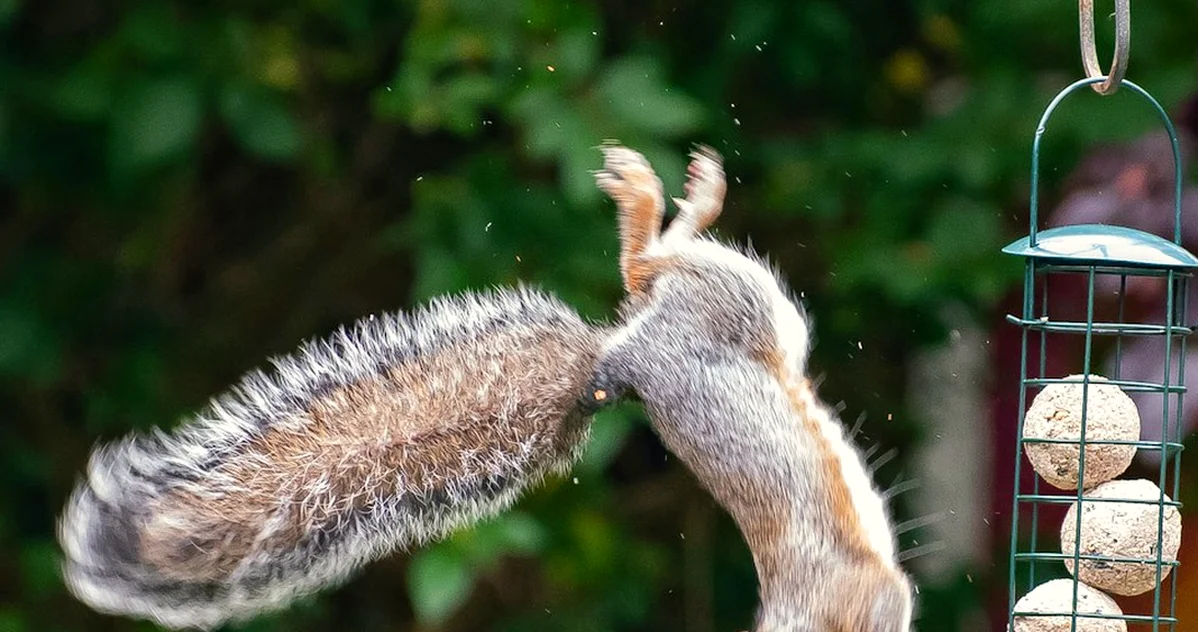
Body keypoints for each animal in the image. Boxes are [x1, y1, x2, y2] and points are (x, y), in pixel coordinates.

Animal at [58, 144, 913, 632]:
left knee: (645, 276)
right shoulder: (865, 600)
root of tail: (614, 364)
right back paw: (663, 200)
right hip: (743, 309)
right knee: (649, 267)